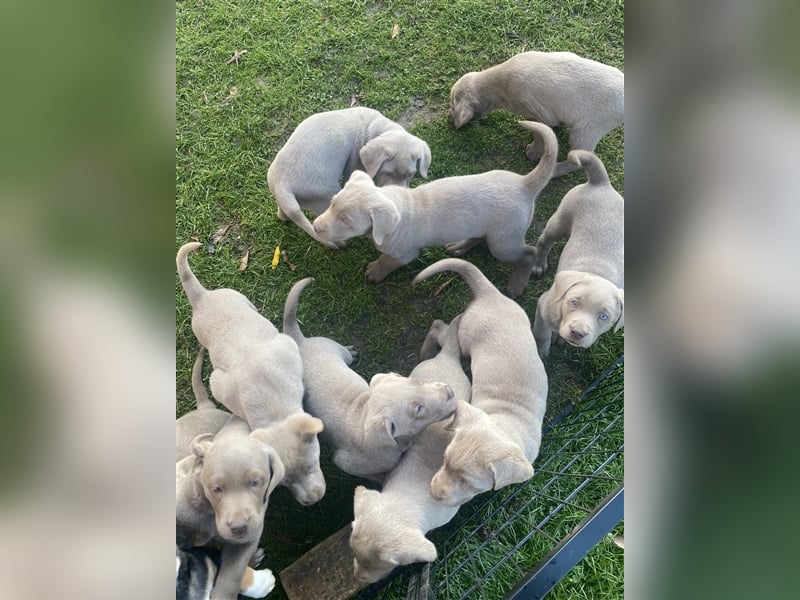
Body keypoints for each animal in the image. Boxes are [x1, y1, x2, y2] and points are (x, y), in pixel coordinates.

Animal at [268, 106, 432, 247]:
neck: (374, 128)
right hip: (325, 195)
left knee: (284, 214)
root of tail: (282, 185)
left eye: (411, 174)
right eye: (387, 173)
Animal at [532, 150, 624, 356]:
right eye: (574, 303)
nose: (577, 332)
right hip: (559, 222)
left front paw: (559, 337)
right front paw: (541, 351)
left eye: (603, 316)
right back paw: (538, 265)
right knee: (544, 243)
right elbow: (541, 334)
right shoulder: (543, 306)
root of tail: (601, 183)